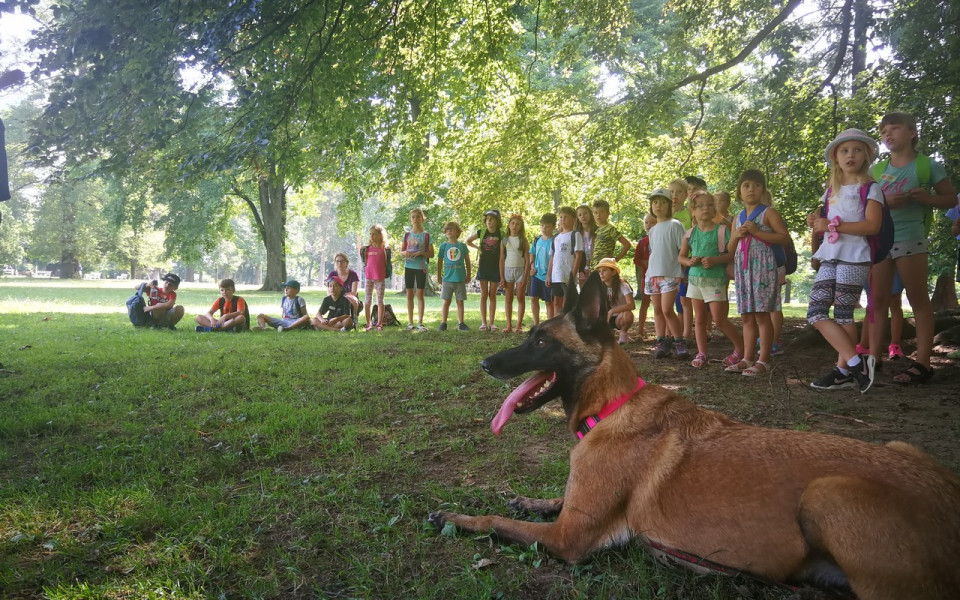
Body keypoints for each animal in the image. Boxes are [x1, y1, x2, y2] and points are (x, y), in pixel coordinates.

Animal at [432, 274, 960, 600]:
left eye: (541, 340)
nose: (485, 363)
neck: (611, 406)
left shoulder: (570, 539)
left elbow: (495, 522)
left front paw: (457, 516)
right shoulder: (578, 510)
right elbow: (550, 500)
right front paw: (527, 499)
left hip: (829, 492)